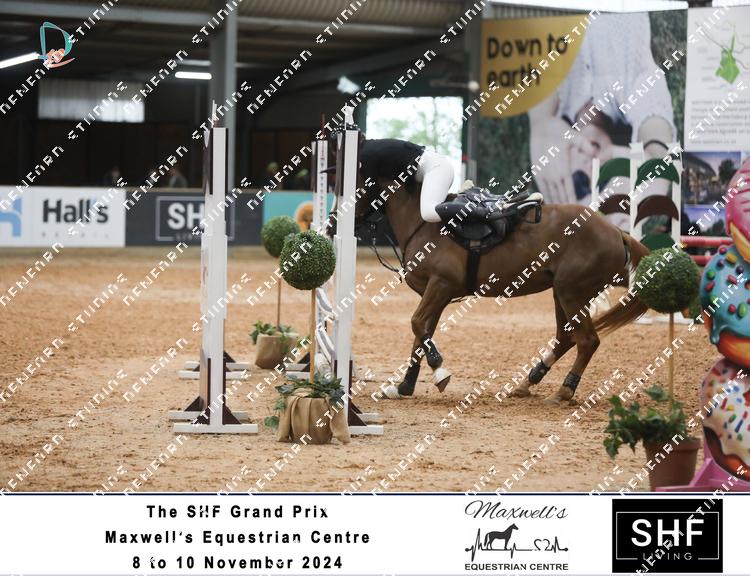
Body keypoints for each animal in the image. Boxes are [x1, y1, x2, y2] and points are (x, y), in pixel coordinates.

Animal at [352, 178, 649, 405]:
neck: (425, 223)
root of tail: (616, 232)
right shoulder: (435, 293)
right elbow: (421, 334)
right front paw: (404, 386)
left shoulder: (441, 286)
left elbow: (417, 325)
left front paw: (438, 369)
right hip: (562, 293)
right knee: (566, 338)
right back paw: (528, 382)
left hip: (572, 293)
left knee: (587, 340)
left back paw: (563, 391)